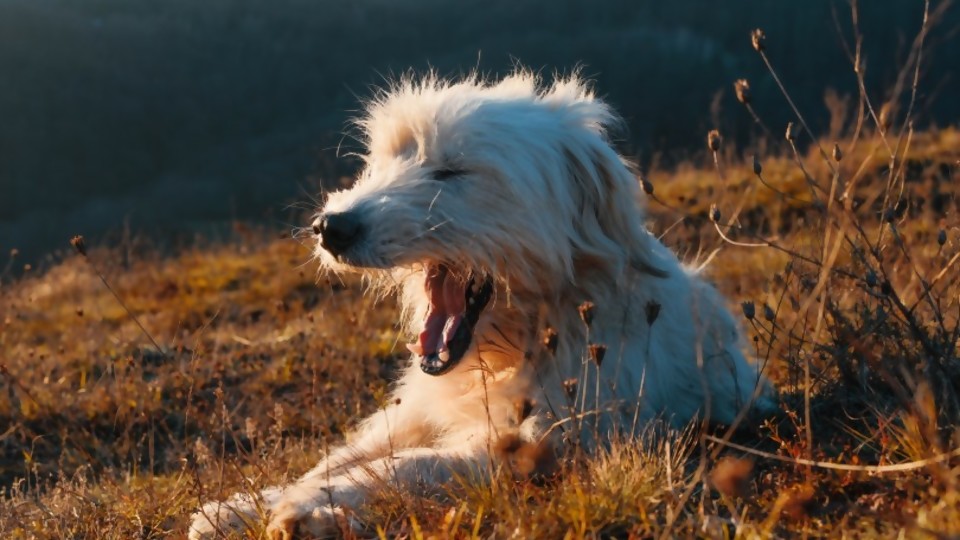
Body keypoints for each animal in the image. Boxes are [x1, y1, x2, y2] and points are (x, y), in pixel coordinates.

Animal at [189, 71, 772, 540]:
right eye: (384, 161)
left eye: (452, 172)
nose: (331, 226)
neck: (516, 347)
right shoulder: (415, 410)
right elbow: (342, 457)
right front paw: (242, 507)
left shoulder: (546, 439)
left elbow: (409, 468)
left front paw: (311, 508)